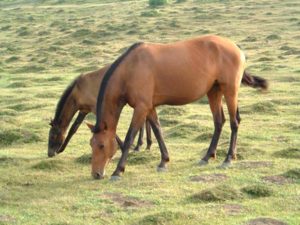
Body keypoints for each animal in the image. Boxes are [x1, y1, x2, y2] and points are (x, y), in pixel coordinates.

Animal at [85, 34, 268, 179]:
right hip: (214, 91)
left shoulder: (141, 108)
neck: (131, 68)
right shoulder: (149, 107)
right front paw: (164, 161)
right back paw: (207, 156)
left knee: (233, 122)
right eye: (91, 144)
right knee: (219, 122)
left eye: (101, 145)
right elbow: (158, 130)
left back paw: (229, 158)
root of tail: (235, 47)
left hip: (230, 90)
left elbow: (130, 136)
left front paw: (118, 171)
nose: (96, 174)